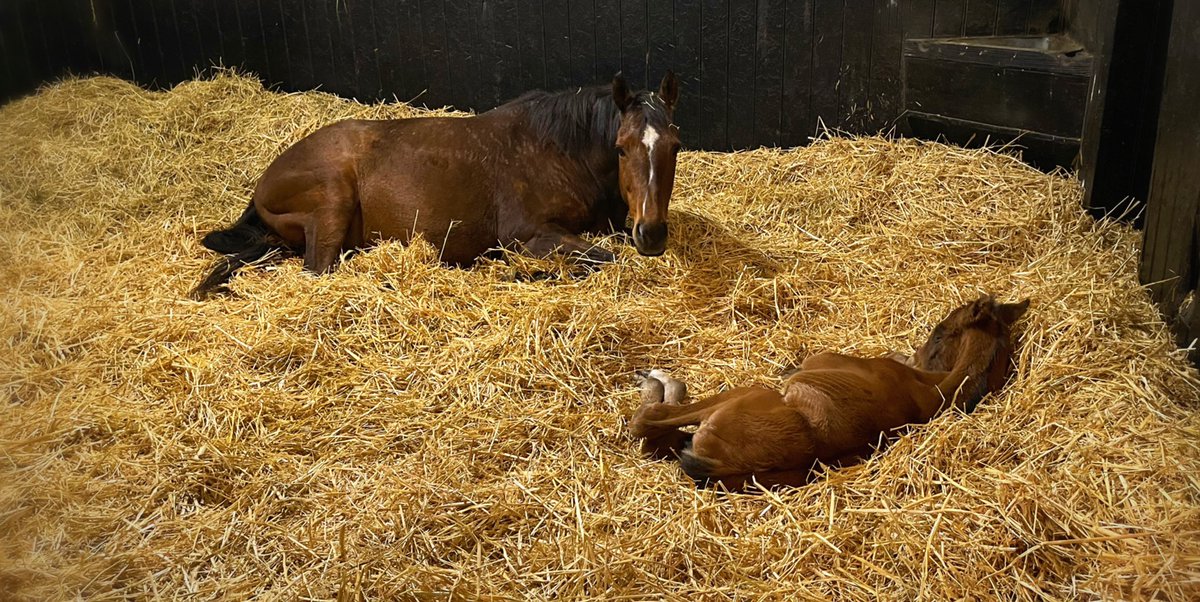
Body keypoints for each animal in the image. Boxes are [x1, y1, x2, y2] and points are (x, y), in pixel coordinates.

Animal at [188, 72, 681, 298]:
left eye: (675, 147)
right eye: (621, 148)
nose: (652, 235)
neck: (557, 151)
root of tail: (264, 183)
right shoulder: (527, 235)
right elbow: (601, 260)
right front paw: (518, 273)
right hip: (332, 202)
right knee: (318, 272)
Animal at [628, 293, 1032, 491]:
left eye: (939, 330)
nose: (919, 354)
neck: (935, 389)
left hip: (747, 394)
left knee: (648, 421)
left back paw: (654, 377)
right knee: (659, 439)